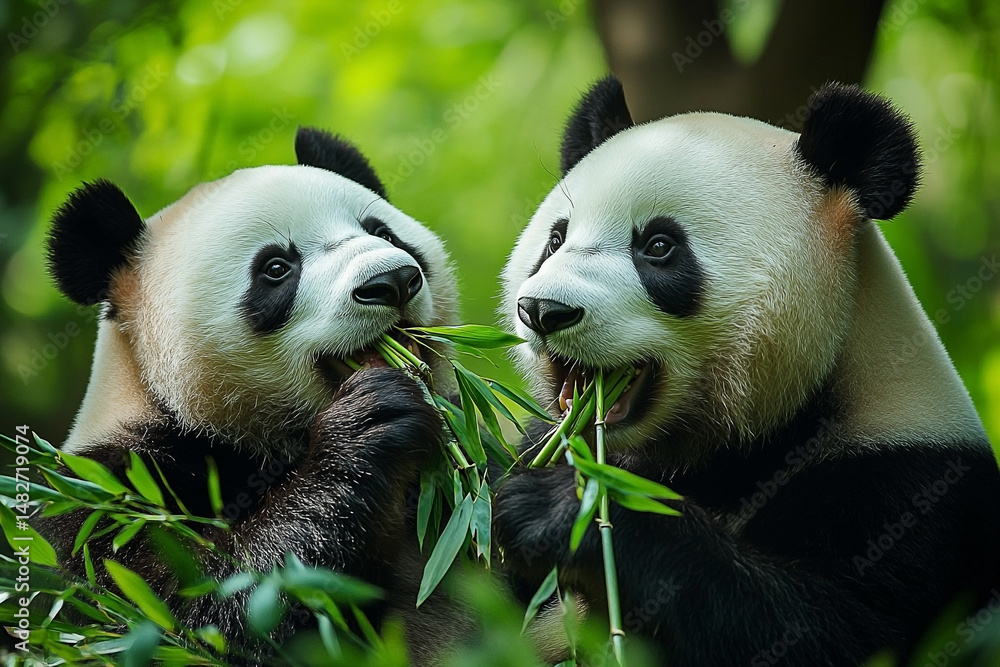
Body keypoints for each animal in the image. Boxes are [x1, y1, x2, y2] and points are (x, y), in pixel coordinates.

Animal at [42, 127, 465, 663]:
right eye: (277, 268)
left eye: (385, 233)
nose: (391, 280)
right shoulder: (108, 497)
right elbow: (185, 612)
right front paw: (371, 420)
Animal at [493, 76, 1000, 665]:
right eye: (555, 240)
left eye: (659, 246)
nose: (544, 310)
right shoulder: (539, 438)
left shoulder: (908, 484)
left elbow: (826, 631)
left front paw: (566, 506)